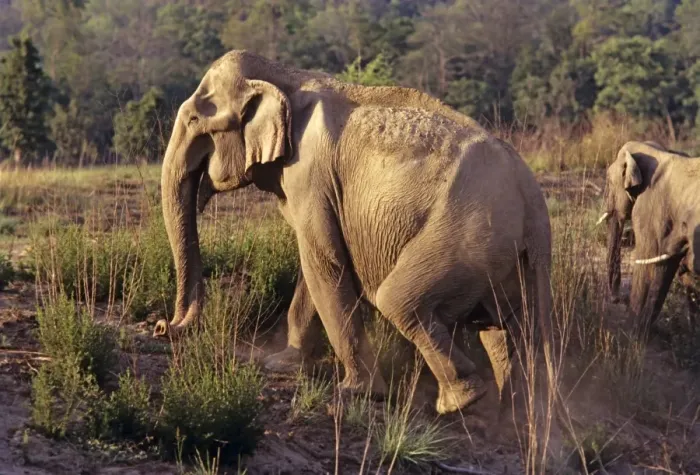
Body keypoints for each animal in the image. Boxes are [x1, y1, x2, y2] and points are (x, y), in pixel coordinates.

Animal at [154, 50, 554, 415]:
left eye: (194, 118)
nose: (162, 326)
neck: (285, 75)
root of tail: (531, 197)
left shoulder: (310, 175)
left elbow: (324, 264)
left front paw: (356, 392)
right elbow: (315, 266)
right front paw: (283, 363)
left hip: (465, 236)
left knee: (400, 302)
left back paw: (458, 402)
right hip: (510, 258)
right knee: (506, 329)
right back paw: (511, 413)